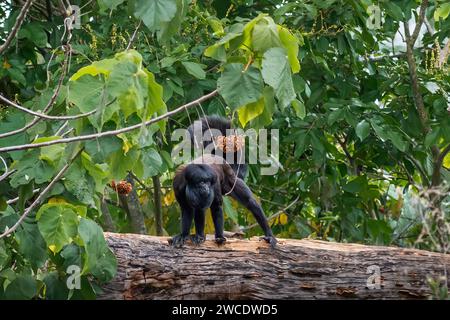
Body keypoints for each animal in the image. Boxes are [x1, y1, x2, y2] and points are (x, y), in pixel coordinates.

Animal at [168, 117, 274, 248]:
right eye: (201, 182)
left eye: (208, 181)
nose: (206, 187)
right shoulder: (177, 183)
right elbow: (186, 208)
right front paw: (184, 235)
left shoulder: (215, 181)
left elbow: (215, 206)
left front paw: (215, 236)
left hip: (231, 180)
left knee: (251, 202)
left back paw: (269, 235)